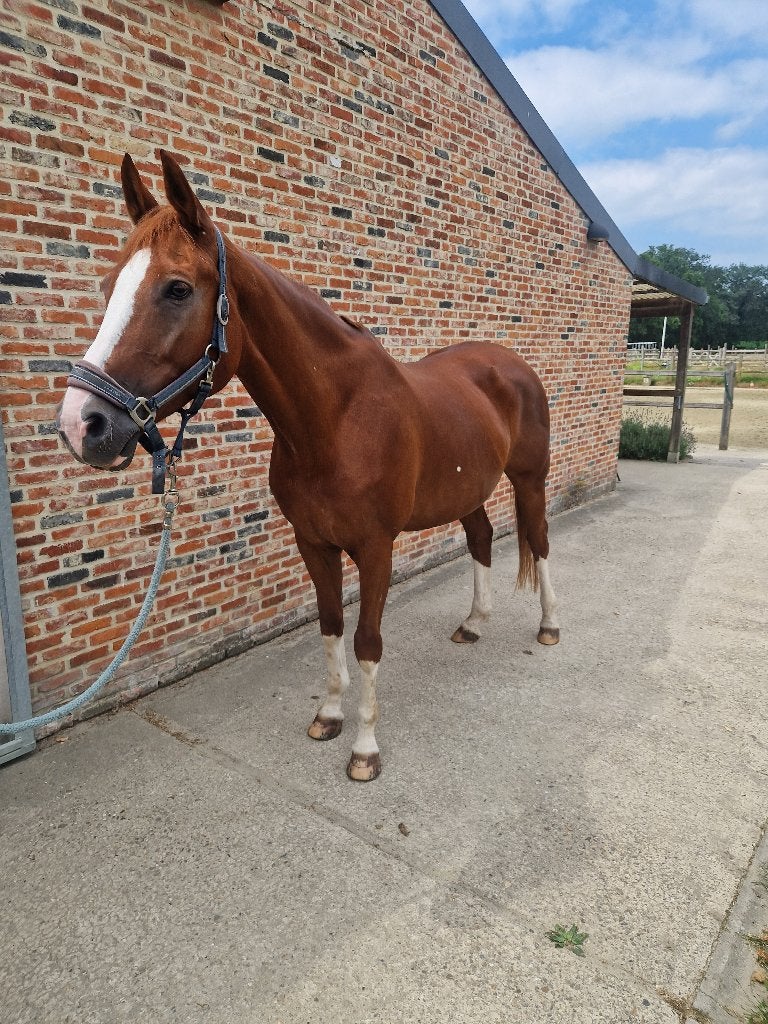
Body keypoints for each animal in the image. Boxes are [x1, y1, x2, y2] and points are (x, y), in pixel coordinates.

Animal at [57, 151, 559, 781]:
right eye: (107, 287)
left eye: (177, 289)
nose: (82, 425)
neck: (334, 422)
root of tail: (511, 364)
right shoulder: (313, 543)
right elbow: (330, 625)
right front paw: (329, 716)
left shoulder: (375, 547)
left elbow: (367, 640)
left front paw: (365, 749)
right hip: (467, 490)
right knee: (482, 538)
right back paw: (473, 624)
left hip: (530, 481)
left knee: (538, 540)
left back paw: (549, 626)